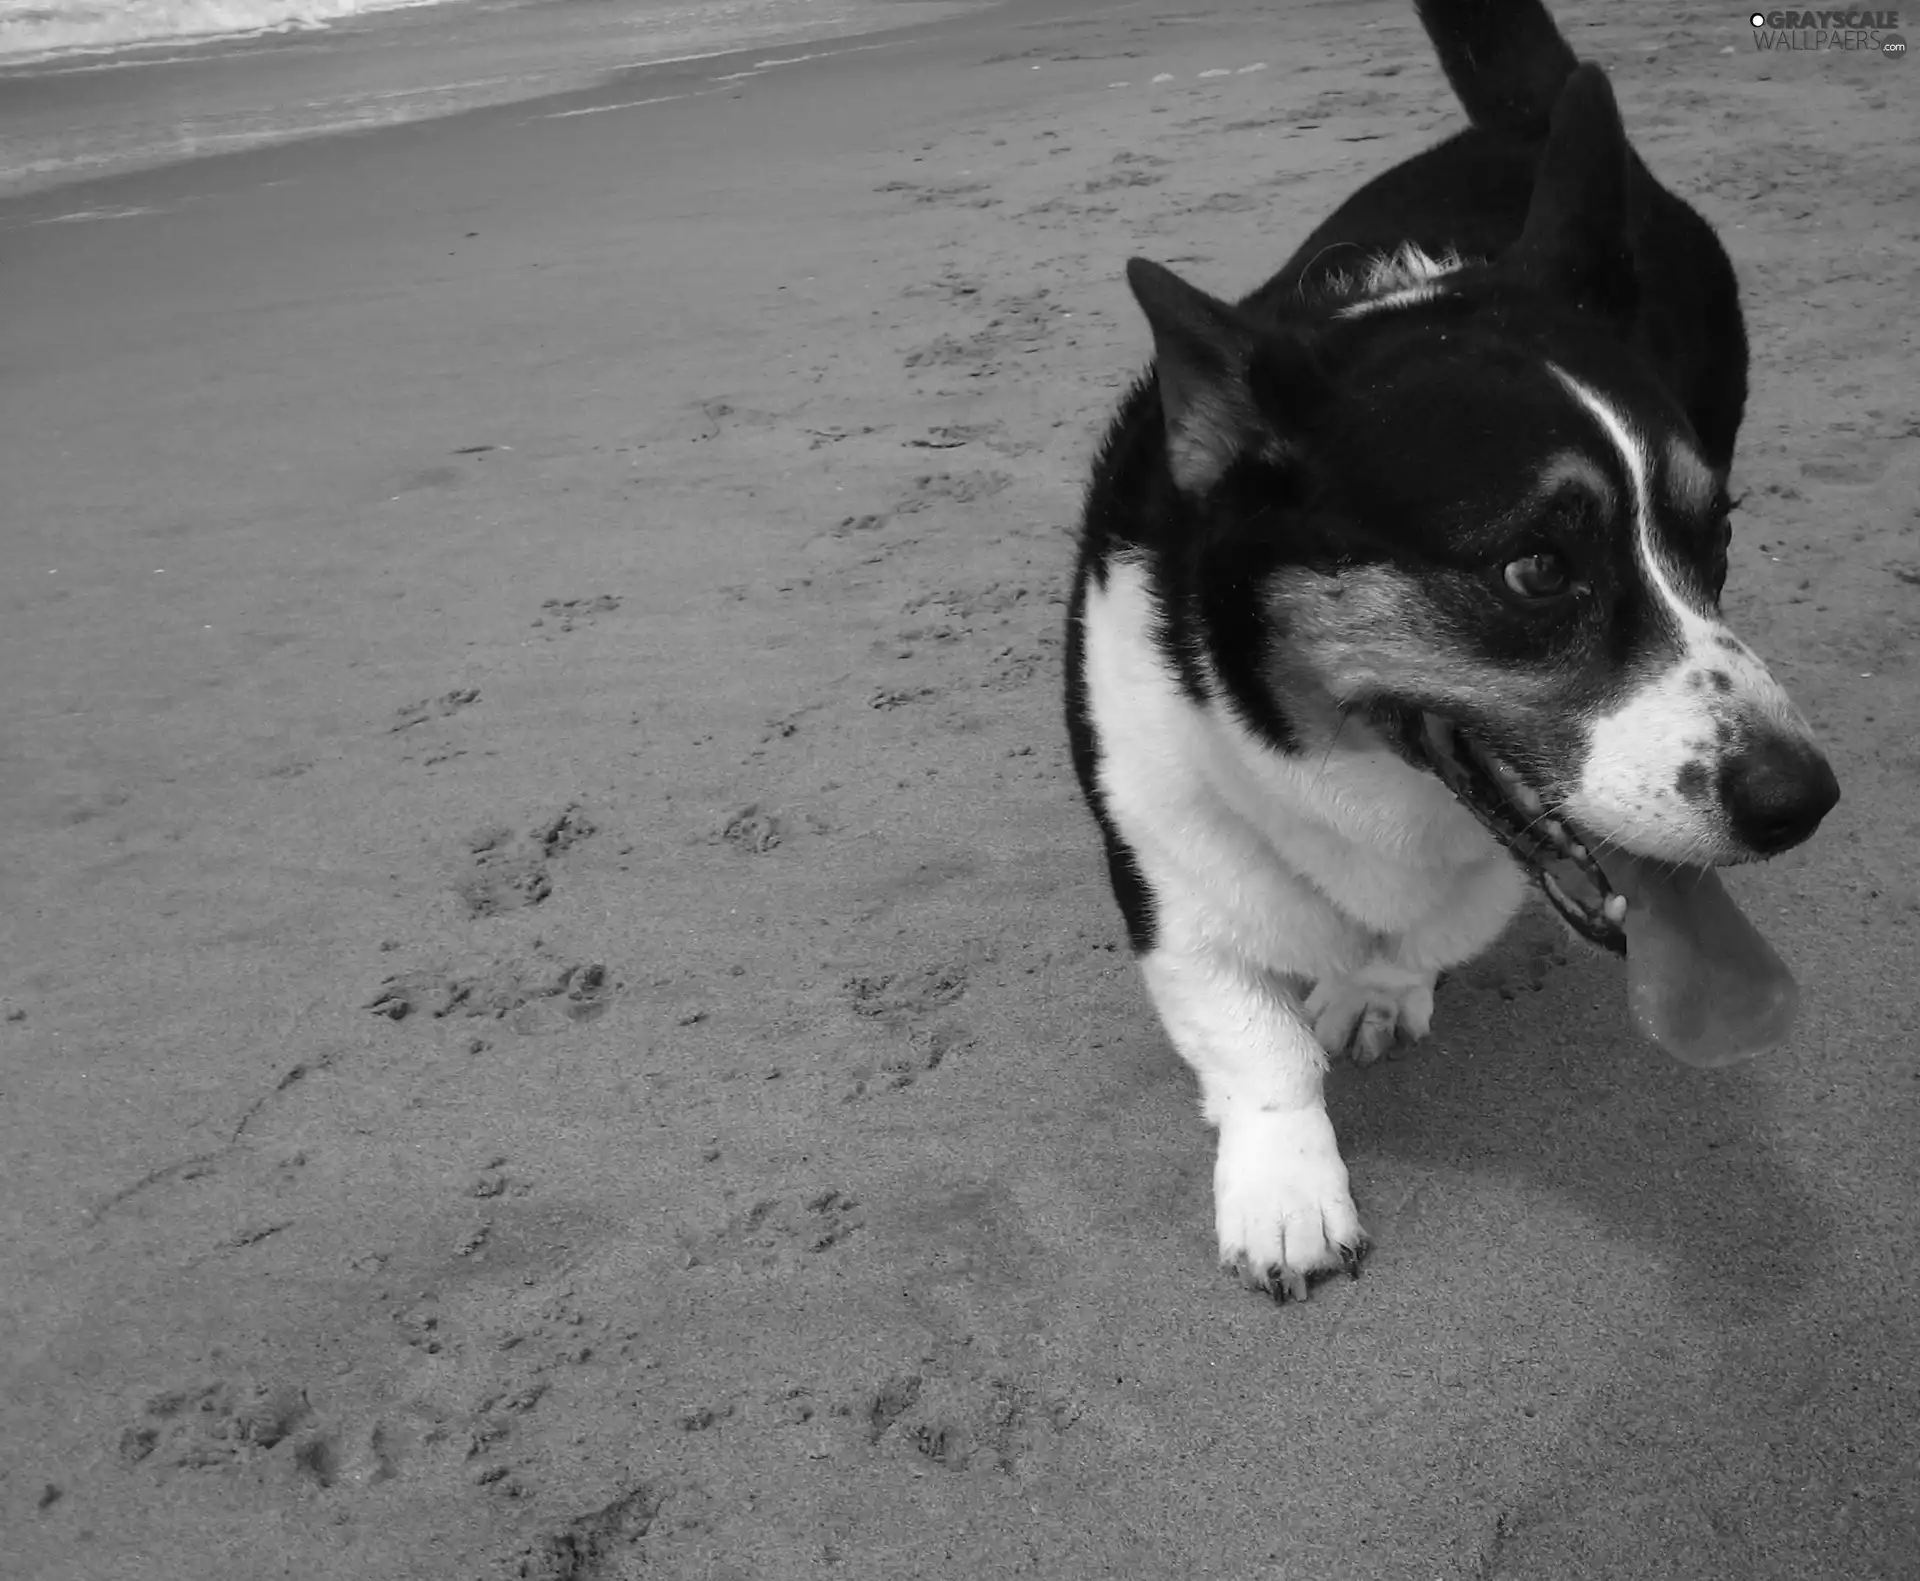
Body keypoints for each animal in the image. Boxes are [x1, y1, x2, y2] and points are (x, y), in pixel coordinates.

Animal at [1075, 0, 1835, 1298]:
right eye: (1536, 569)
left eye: (1715, 534)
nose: (1804, 803)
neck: (1356, 777)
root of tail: (1534, 119)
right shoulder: (1160, 849)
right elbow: (1250, 1036)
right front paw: (1285, 1195)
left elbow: (1415, 941)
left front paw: (1374, 995)